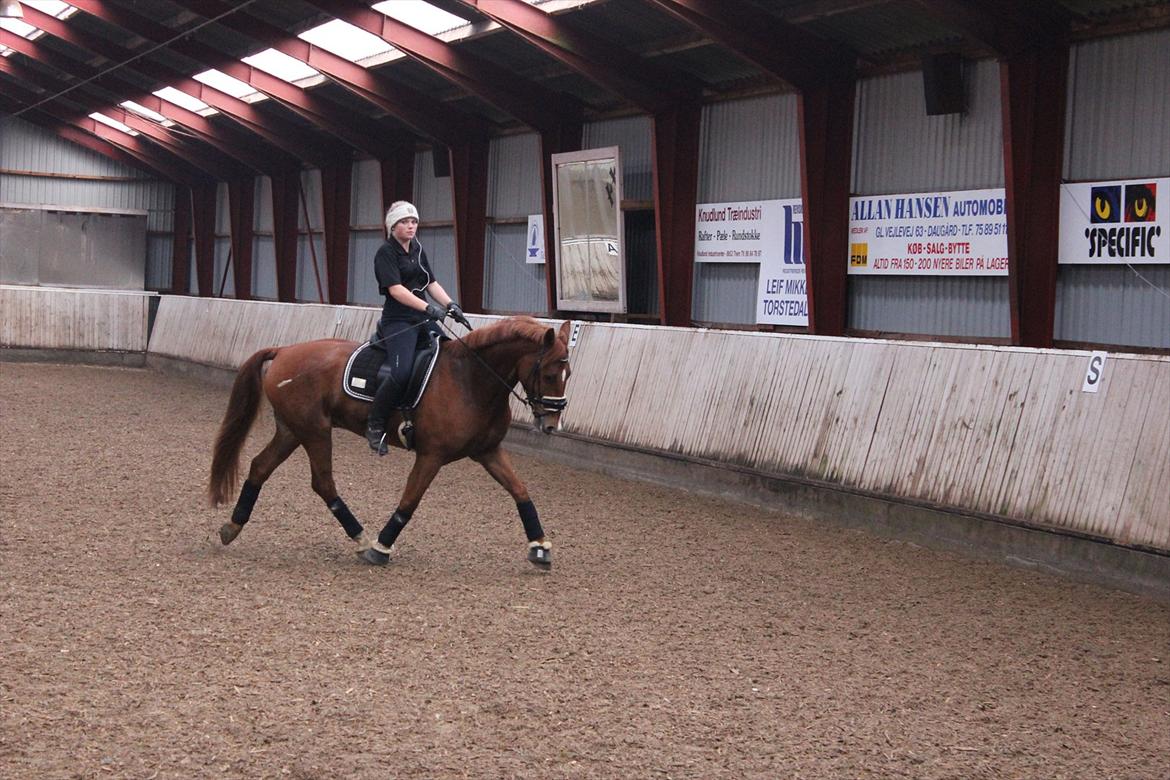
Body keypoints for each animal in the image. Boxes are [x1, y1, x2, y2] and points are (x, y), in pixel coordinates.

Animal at [212, 315, 577, 568]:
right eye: (548, 374)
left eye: (568, 375)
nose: (551, 424)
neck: (470, 379)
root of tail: (285, 350)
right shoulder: (431, 455)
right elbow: (409, 501)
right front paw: (381, 547)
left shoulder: (488, 451)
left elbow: (520, 491)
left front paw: (540, 547)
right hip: (314, 430)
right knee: (323, 483)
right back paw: (361, 538)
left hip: (292, 429)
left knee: (260, 466)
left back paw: (232, 526)